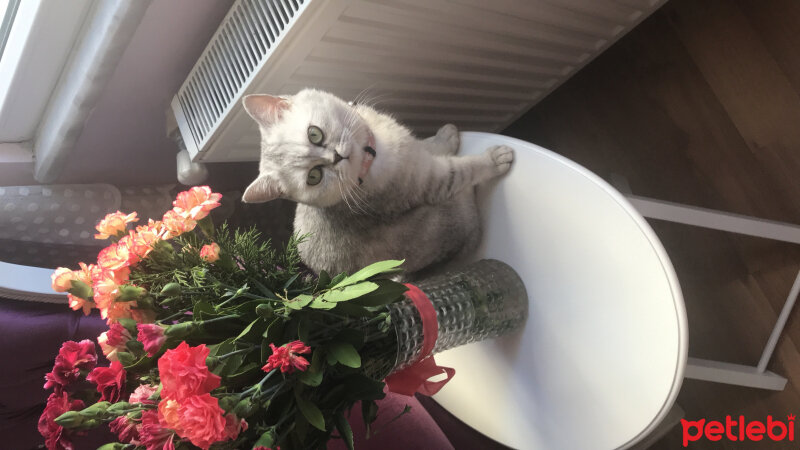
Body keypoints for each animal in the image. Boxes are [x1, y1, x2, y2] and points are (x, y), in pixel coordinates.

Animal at [239, 88, 512, 278]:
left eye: (314, 134)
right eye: (314, 176)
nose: (336, 157)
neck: (373, 151)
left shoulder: (416, 152)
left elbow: (430, 145)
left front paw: (446, 135)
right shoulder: (431, 181)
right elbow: (464, 168)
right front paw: (495, 159)